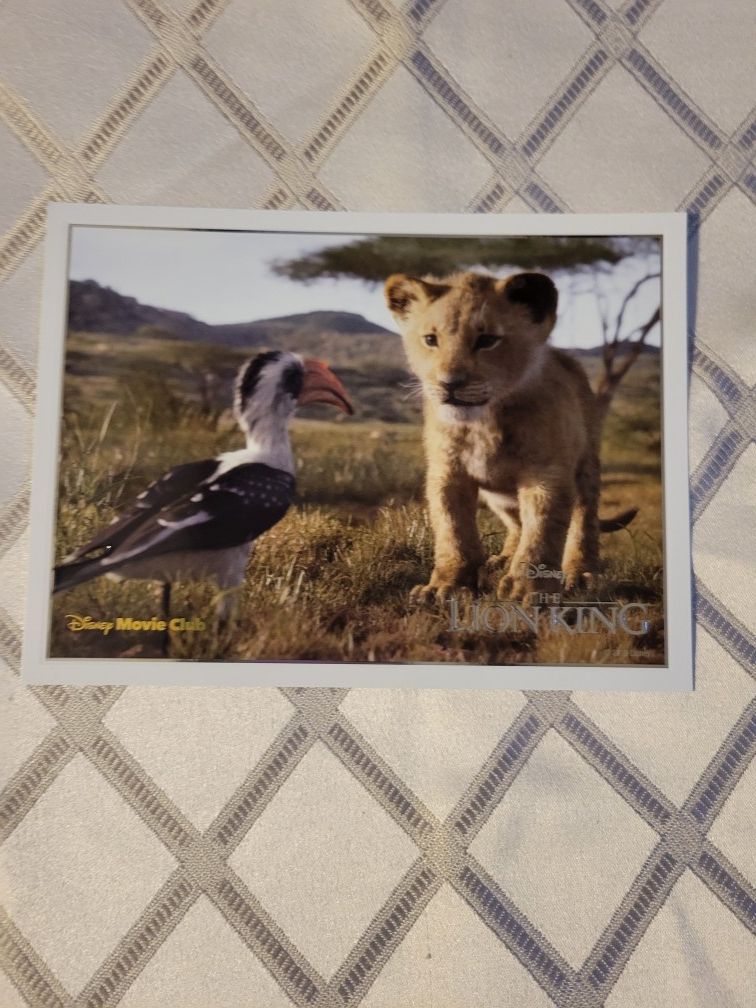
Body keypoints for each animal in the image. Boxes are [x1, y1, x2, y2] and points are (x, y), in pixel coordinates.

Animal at [385, 269, 634, 602]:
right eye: (430, 340)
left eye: (487, 340)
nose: (449, 383)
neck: (483, 422)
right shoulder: (447, 472)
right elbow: (453, 531)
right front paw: (445, 586)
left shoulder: (547, 474)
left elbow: (542, 531)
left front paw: (528, 589)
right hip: (498, 496)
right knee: (516, 523)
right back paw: (502, 559)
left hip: (586, 465)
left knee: (584, 519)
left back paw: (581, 573)